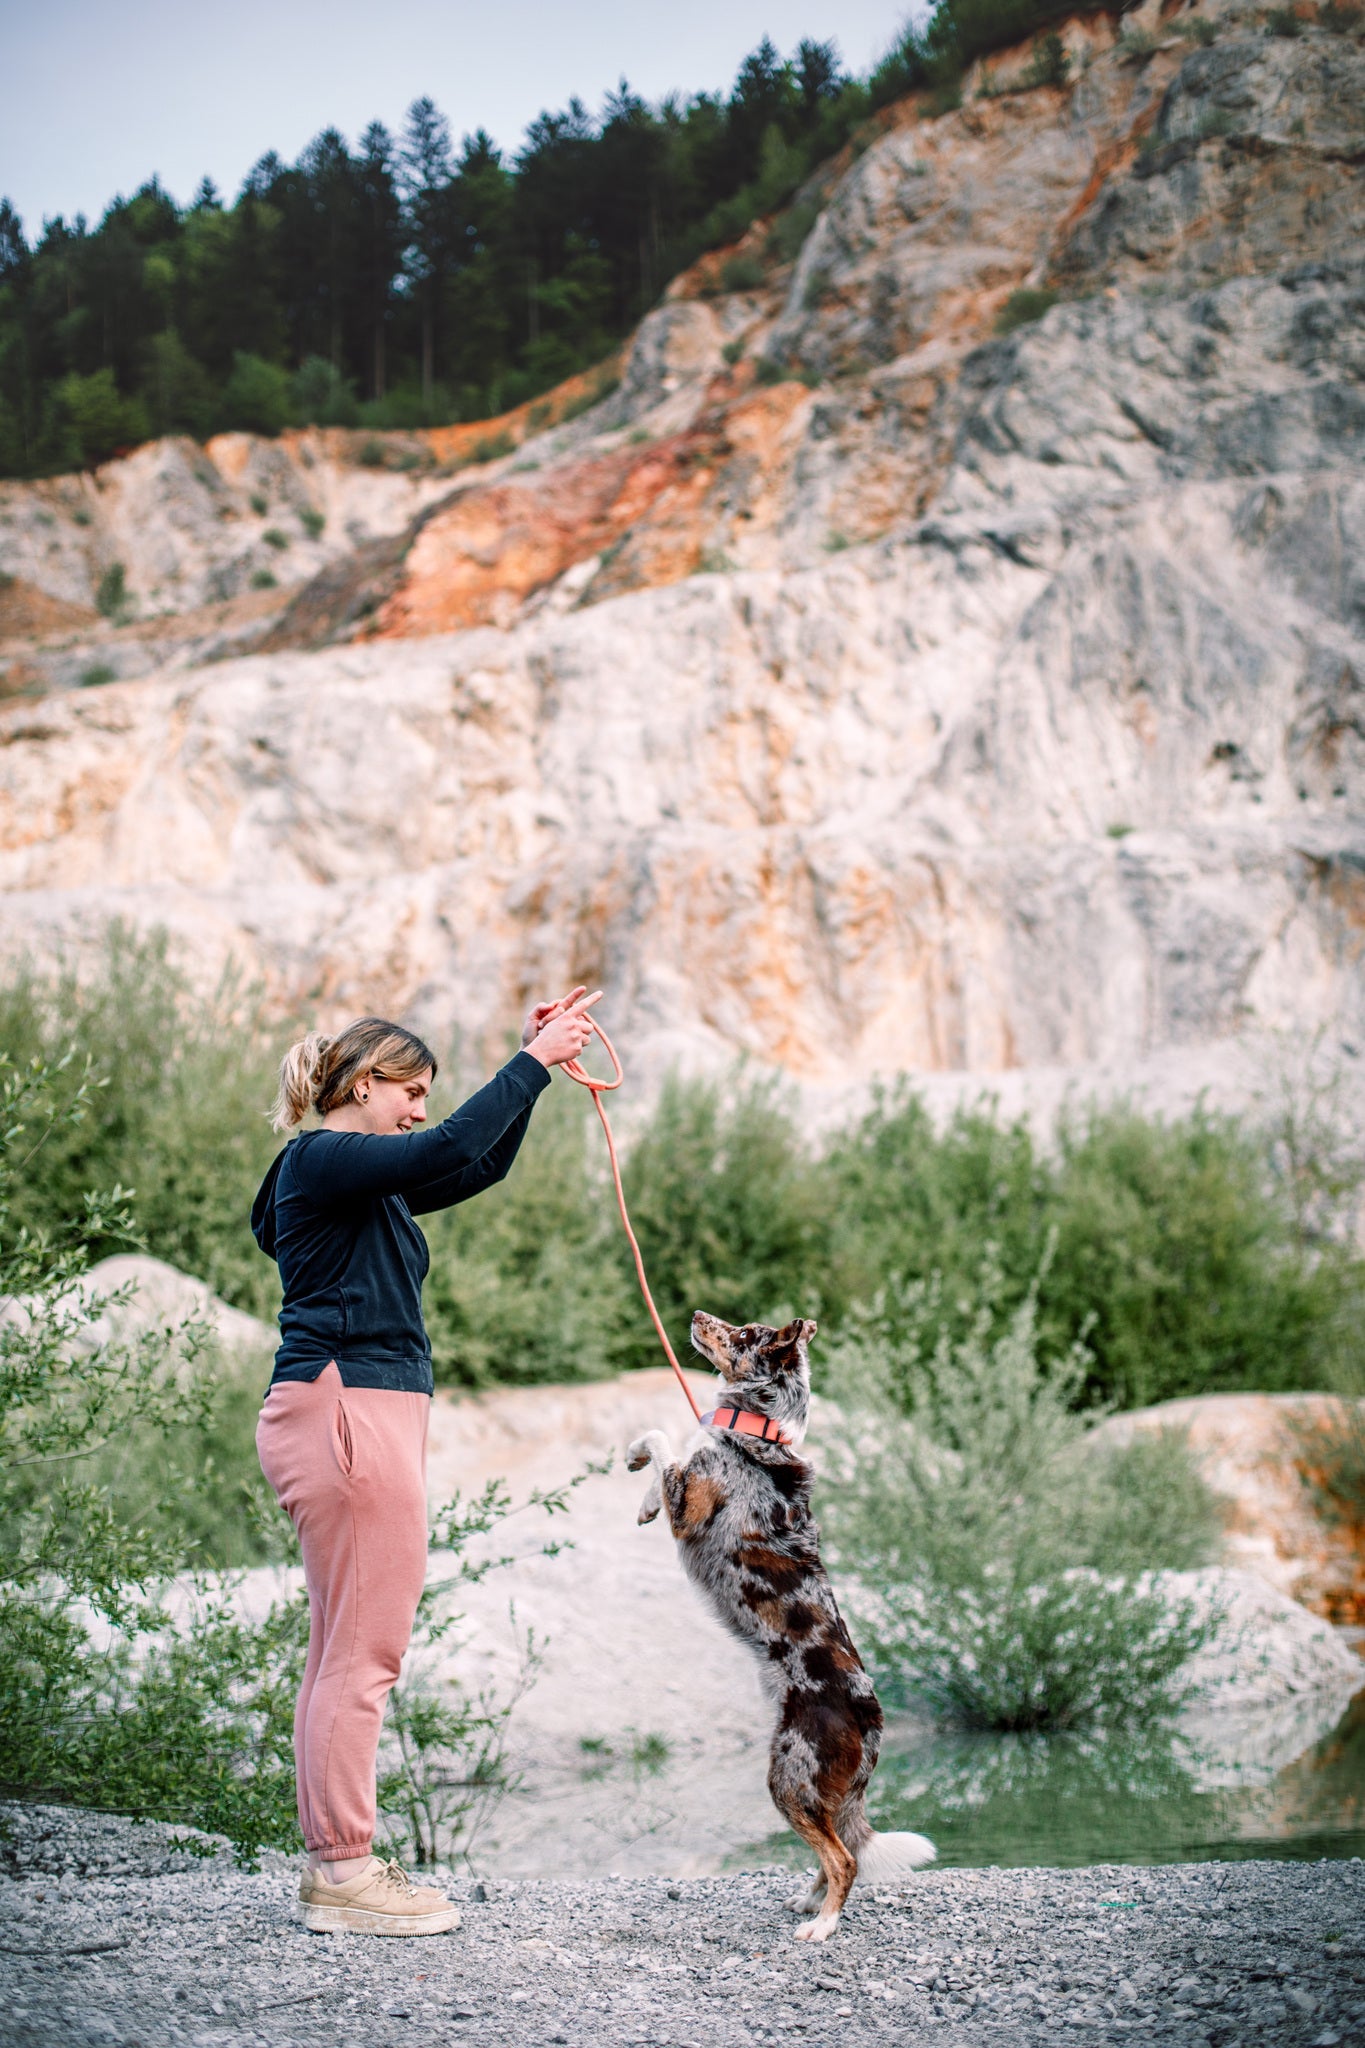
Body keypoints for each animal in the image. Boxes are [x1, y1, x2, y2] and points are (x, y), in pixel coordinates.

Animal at [626, 1302, 933, 1941]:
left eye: (744, 1334)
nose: (696, 1312)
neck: (756, 1430)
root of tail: (872, 1717)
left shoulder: (690, 1507)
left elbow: (667, 1441)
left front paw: (640, 1464)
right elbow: (662, 1450)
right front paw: (641, 1491)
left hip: (788, 1779)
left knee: (843, 1858)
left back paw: (823, 1926)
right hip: (817, 1791)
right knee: (843, 1846)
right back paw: (809, 1903)